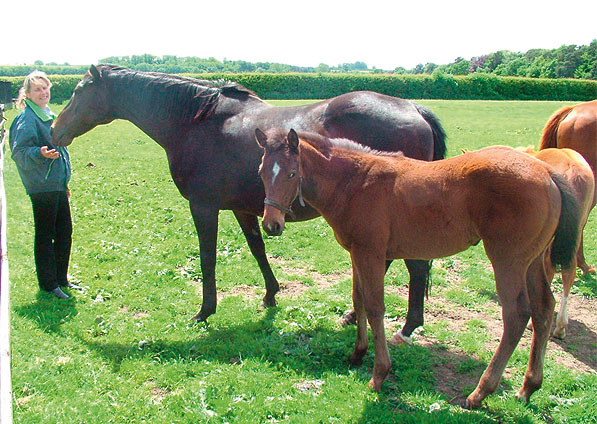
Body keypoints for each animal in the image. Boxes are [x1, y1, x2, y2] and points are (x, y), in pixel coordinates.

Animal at [51, 64, 444, 324]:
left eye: (78, 91)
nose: (54, 130)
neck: (197, 122)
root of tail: (414, 108)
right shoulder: (244, 209)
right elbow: (258, 249)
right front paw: (271, 294)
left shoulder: (204, 207)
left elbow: (207, 259)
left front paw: (204, 311)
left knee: (412, 264)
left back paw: (407, 324)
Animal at [254, 128, 580, 408]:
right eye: (261, 172)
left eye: (292, 173)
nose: (272, 225)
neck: (355, 183)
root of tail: (546, 171)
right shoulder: (357, 253)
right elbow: (358, 300)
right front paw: (357, 354)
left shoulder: (371, 253)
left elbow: (375, 307)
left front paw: (379, 374)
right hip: (533, 260)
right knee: (543, 308)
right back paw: (528, 388)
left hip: (507, 260)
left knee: (516, 315)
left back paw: (480, 393)